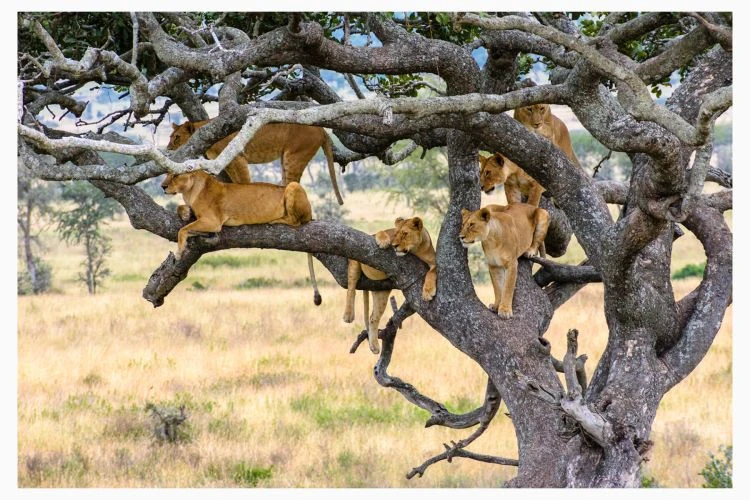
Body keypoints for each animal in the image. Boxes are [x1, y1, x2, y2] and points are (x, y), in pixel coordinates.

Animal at [161, 170, 321, 305]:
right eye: (167, 173)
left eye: (175, 175)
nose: (163, 186)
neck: (189, 191)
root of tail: (311, 214)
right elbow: (184, 221)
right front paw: (184, 213)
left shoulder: (213, 222)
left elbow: (182, 230)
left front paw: (179, 252)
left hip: (294, 186)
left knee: (296, 221)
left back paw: (276, 220)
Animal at [167, 120, 344, 205]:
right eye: (170, 137)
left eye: (177, 137)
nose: (168, 149)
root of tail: (321, 128)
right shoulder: (227, 162)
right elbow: (236, 182)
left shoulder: (237, 158)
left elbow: (244, 181)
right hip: (285, 157)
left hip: (294, 156)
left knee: (293, 183)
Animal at [342, 217, 437, 354]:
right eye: (395, 234)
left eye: (405, 233)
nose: (394, 246)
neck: (414, 251)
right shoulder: (380, 234)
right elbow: (380, 232)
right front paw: (383, 240)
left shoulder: (433, 261)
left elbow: (432, 272)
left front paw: (428, 291)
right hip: (354, 262)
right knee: (351, 289)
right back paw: (348, 315)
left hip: (381, 292)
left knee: (373, 318)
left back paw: (374, 346)